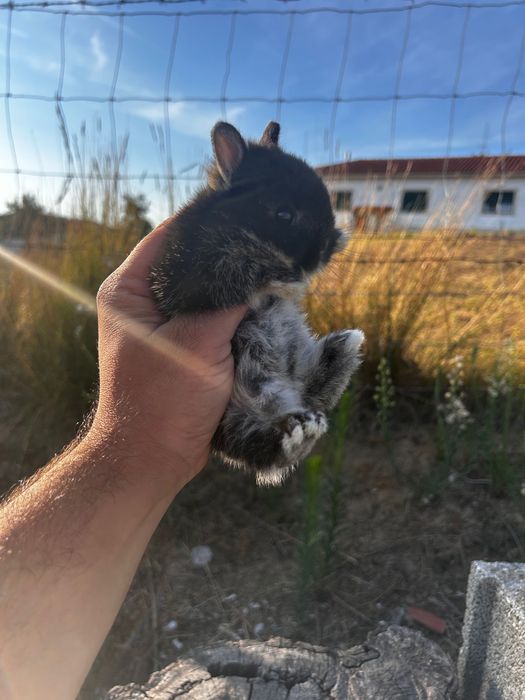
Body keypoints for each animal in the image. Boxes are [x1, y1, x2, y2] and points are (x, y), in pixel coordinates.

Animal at [150, 121, 364, 486]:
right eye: (283, 214)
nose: (325, 249)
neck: (234, 220)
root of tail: (287, 399)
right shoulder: (199, 274)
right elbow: (242, 263)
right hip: (233, 411)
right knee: (259, 447)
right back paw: (297, 433)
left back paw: (343, 350)